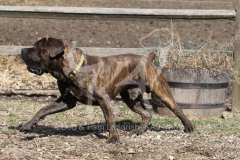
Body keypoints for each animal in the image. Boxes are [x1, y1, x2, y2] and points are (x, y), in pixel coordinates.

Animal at [19, 37, 194, 142]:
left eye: (37, 48)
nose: (22, 50)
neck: (72, 70)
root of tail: (147, 59)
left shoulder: (103, 99)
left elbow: (109, 118)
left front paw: (113, 138)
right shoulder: (66, 101)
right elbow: (43, 109)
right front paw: (29, 125)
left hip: (161, 91)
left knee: (176, 108)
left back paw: (188, 126)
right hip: (130, 98)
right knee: (146, 114)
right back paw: (138, 131)